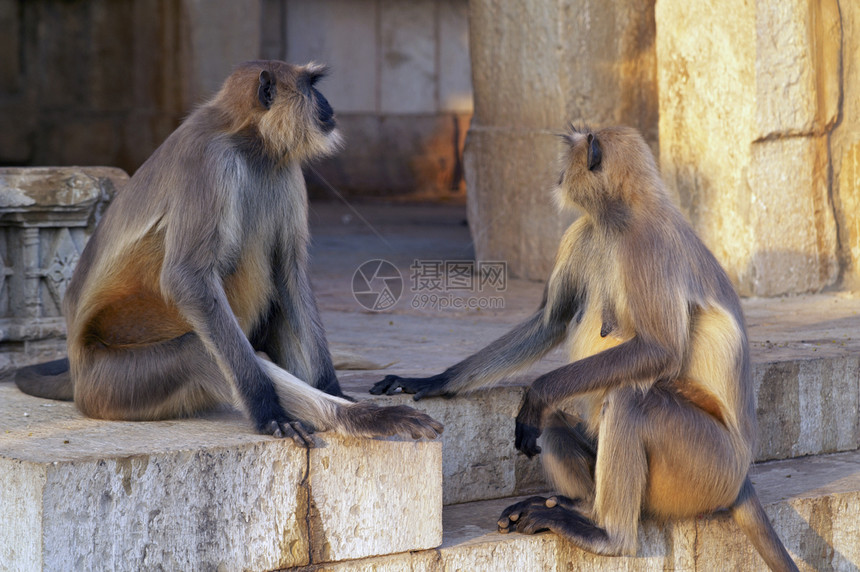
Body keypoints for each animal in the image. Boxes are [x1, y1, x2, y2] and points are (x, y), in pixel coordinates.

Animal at [15, 62, 444, 446]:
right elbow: (187, 278)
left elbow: (289, 269)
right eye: (311, 86)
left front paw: (332, 386)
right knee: (196, 350)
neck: (245, 141)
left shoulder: (283, 167)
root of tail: (77, 368)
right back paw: (358, 418)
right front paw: (268, 409)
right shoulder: (208, 162)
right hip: (112, 385)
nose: (327, 103)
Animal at [372, 126, 796, 572]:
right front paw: (433, 380)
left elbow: (659, 350)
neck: (618, 219)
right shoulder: (584, 231)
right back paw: (578, 507)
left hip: (709, 466)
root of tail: (742, 476)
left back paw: (607, 536)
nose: (558, 173)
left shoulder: (646, 243)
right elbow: (551, 322)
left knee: (628, 399)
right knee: (556, 423)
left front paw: (535, 392)